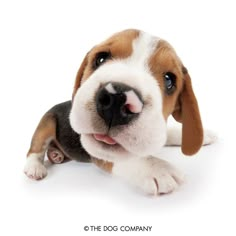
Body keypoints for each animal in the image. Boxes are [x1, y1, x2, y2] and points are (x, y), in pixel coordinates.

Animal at [24, 29, 216, 195]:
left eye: (169, 80)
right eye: (101, 59)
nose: (116, 100)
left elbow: (165, 134)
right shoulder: (101, 152)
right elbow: (126, 158)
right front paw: (157, 168)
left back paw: (56, 155)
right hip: (47, 122)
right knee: (35, 148)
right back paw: (35, 167)